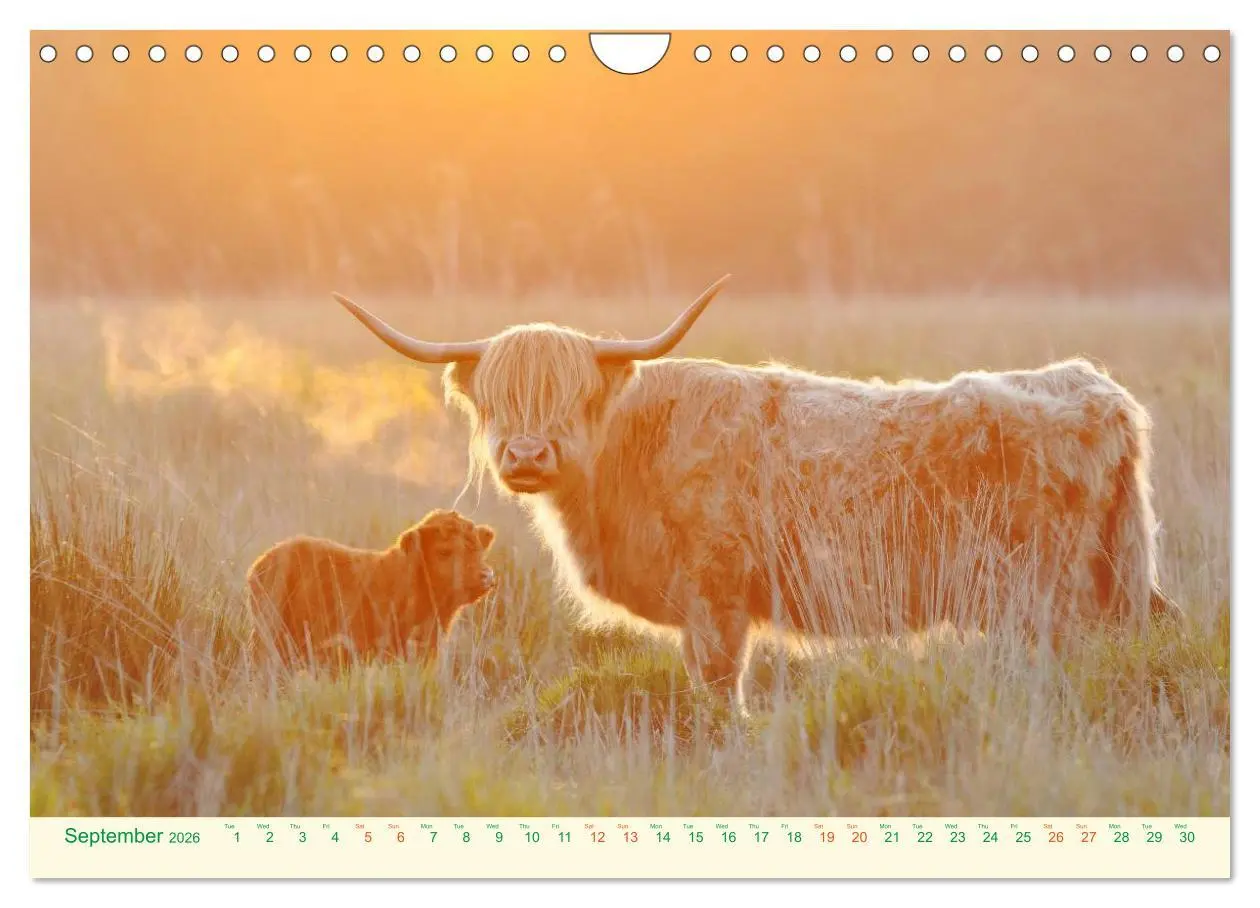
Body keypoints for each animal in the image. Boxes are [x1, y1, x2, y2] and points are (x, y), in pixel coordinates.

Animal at [332, 276, 1182, 710]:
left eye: (571, 394)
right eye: (499, 397)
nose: (528, 455)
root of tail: (1091, 387)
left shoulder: (716, 598)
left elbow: (716, 688)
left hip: (1052, 595)